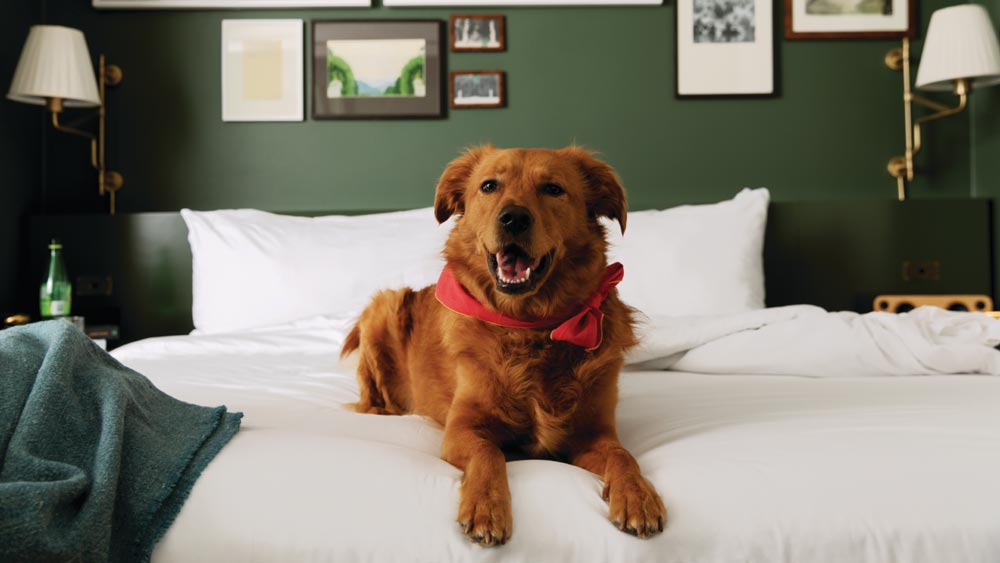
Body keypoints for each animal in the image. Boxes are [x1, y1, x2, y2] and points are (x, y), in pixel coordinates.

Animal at [342, 145, 664, 548]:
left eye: (553, 189)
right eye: (489, 186)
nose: (513, 218)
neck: (530, 327)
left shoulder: (594, 435)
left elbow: (624, 456)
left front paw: (637, 496)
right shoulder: (461, 429)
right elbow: (489, 452)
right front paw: (486, 505)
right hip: (384, 305)